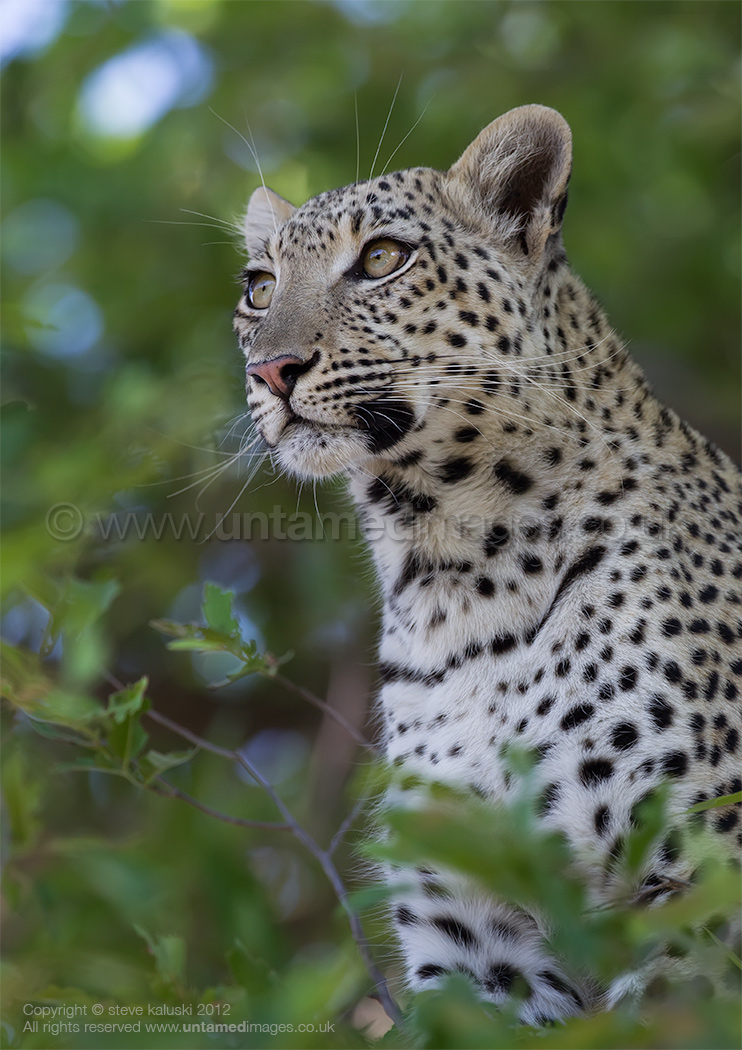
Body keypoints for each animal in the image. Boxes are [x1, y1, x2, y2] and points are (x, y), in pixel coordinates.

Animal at [233, 104, 742, 1023]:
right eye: (259, 288)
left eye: (381, 259)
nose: (271, 369)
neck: (449, 569)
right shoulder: (474, 939)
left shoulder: (695, 875)